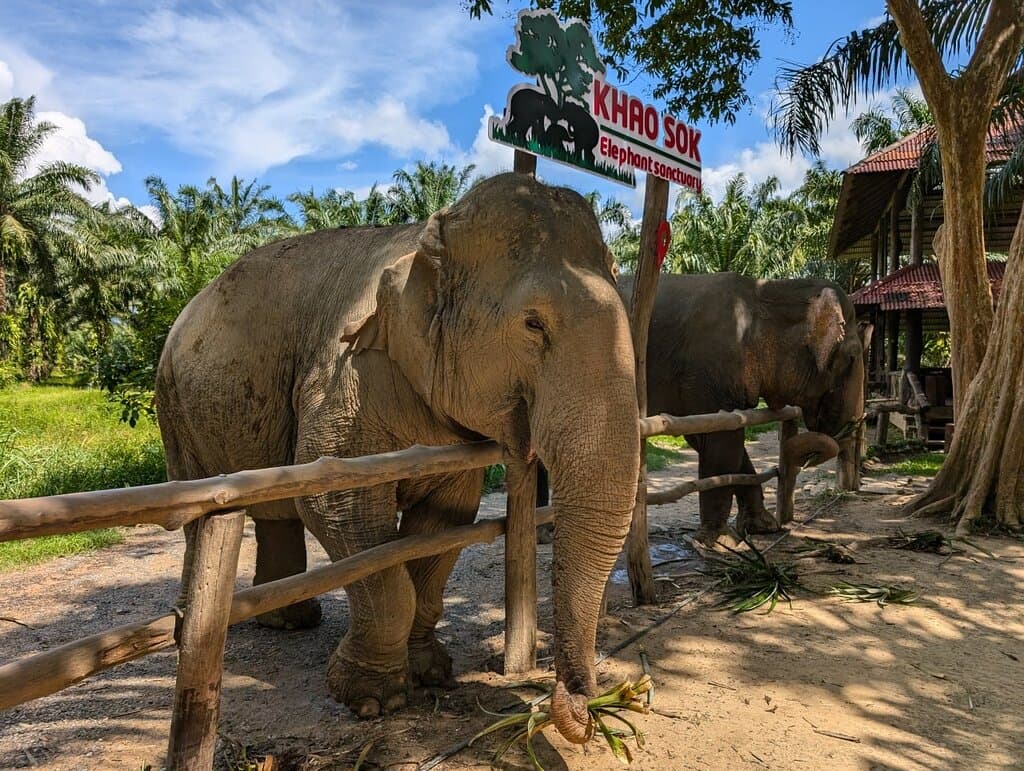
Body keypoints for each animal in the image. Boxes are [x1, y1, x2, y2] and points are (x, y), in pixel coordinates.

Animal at [155, 173, 640, 736]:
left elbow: (446, 522)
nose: (583, 710)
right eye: (533, 324)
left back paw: (289, 620)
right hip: (175, 407)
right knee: (199, 510)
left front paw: (431, 673)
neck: (426, 237)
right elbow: (338, 508)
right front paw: (373, 701)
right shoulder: (345, 378)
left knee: (275, 512)